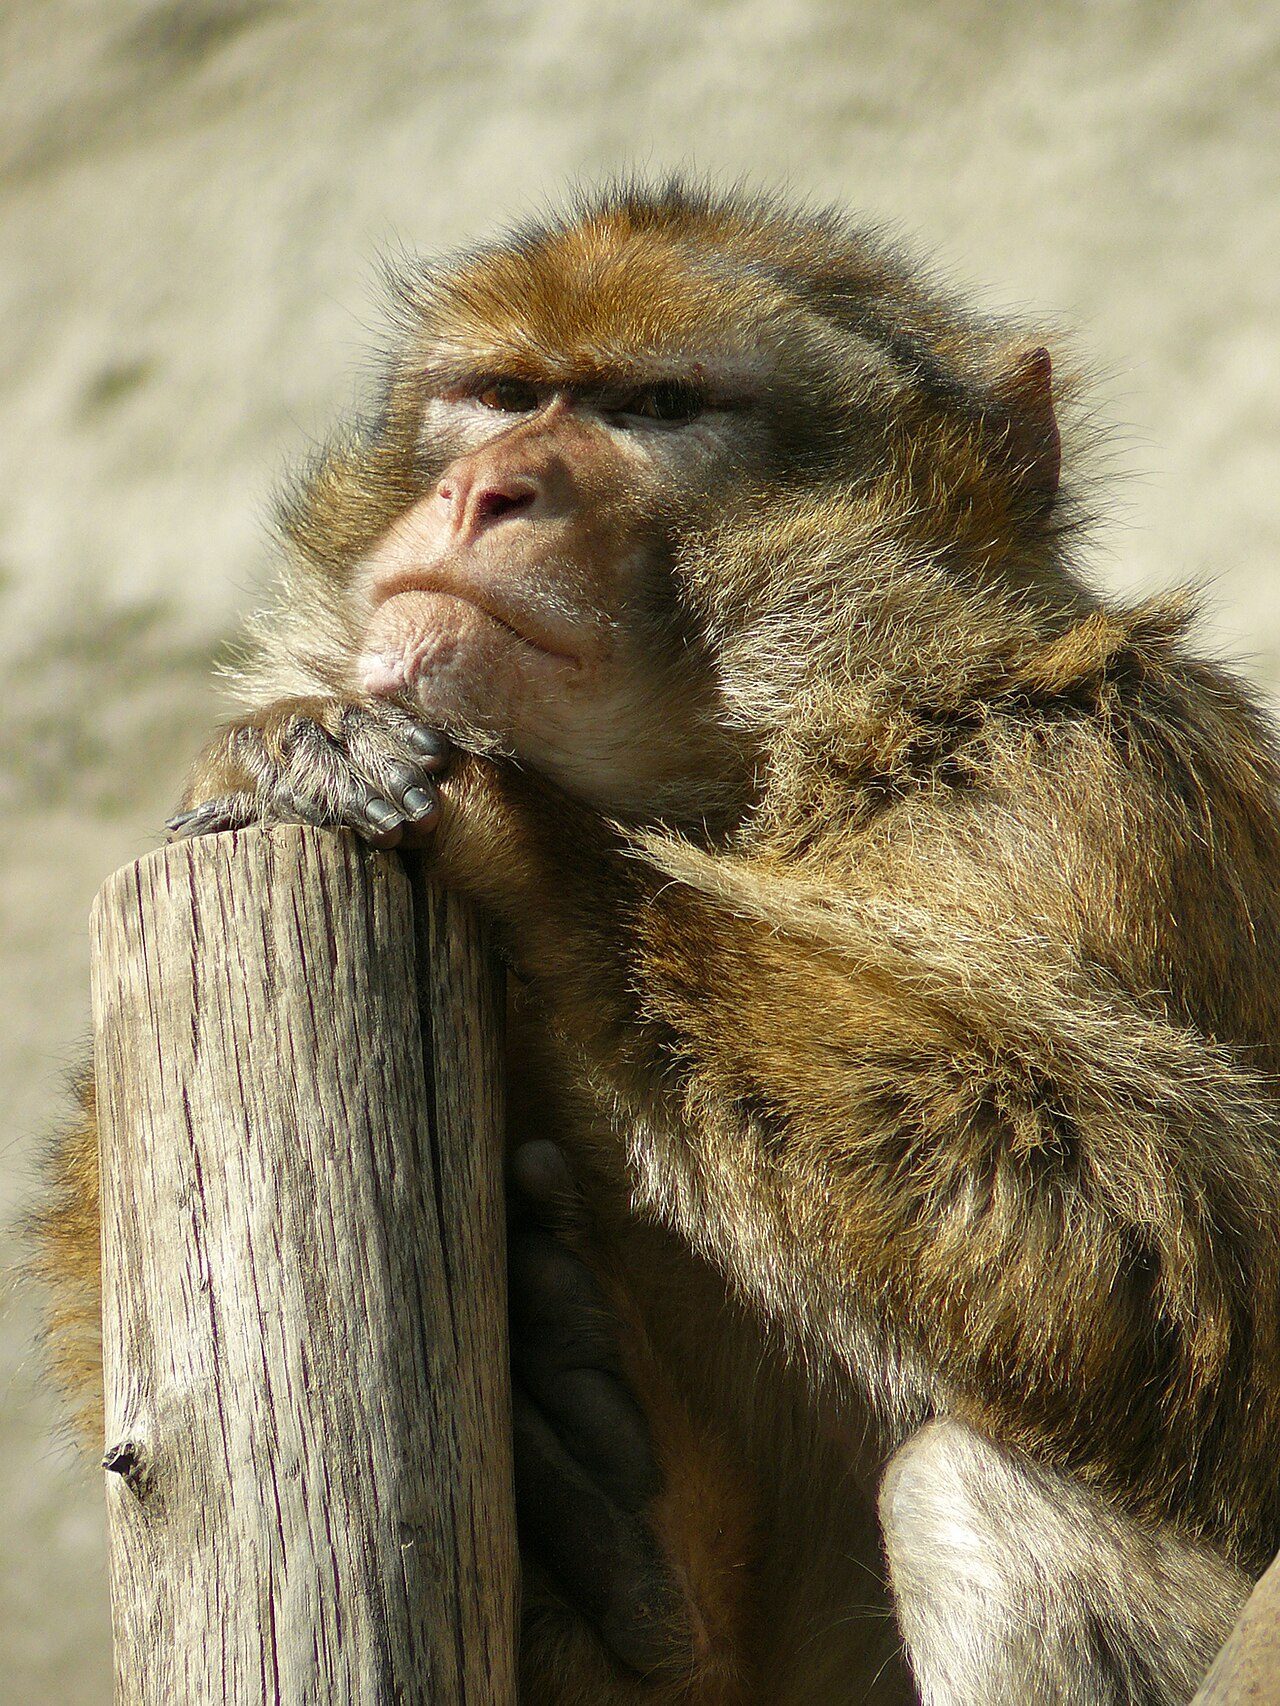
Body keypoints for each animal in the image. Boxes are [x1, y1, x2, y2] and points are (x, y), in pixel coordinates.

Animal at [31, 179, 1280, 1704]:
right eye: (504, 394)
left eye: (656, 406)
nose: (486, 488)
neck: (752, 775)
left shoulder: (1078, 793)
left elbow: (1168, 1234)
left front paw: (513, 830)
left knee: (981, 1499)